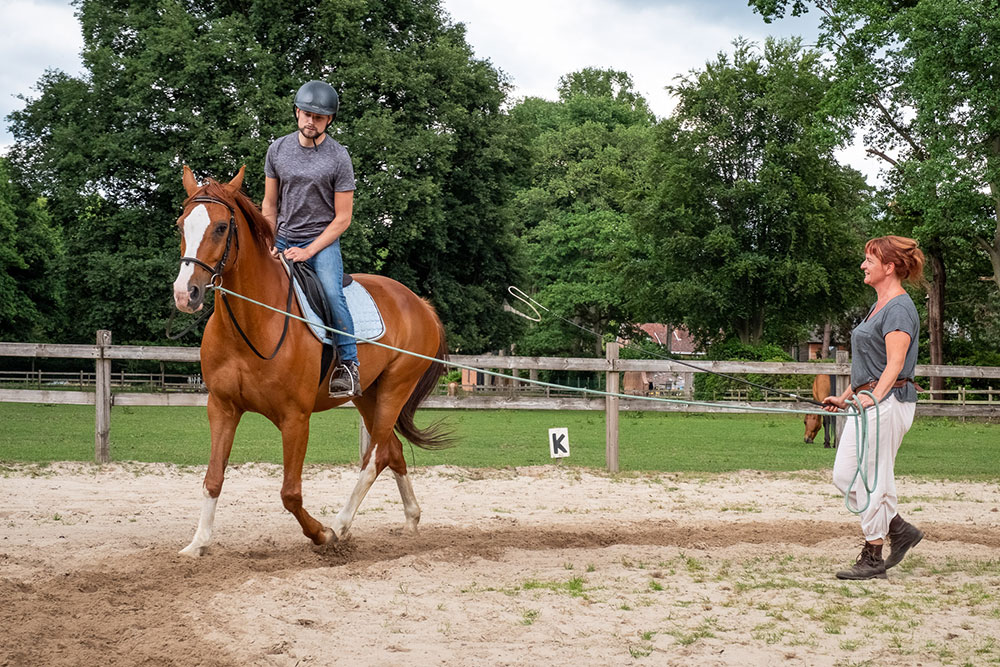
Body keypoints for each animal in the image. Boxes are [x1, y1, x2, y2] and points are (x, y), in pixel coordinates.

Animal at [174, 167, 452, 560]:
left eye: (221, 228)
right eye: (181, 226)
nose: (186, 294)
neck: (257, 321)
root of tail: (419, 303)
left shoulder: (295, 419)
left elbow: (290, 493)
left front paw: (322, 534)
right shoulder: (222, 408)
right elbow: (213, 478)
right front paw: (197, 544)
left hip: (395, 389)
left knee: (377, 457)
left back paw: (341, 524)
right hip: (368, 395)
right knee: (394, 451)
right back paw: (411, 520)